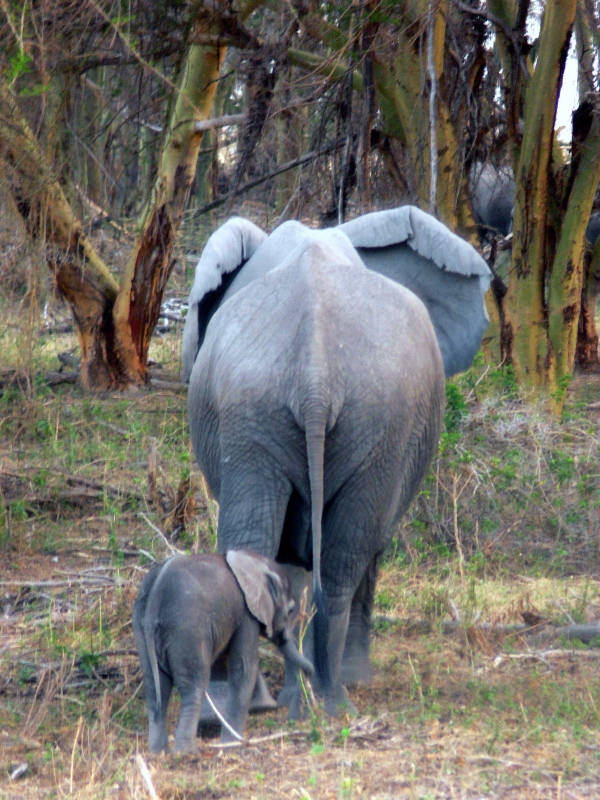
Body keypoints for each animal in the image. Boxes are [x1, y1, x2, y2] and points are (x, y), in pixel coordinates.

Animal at [132, 550, 313, 752]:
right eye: (290, 610)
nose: (309, 674)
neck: (253, 561)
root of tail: (155, 598)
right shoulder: (246, 613)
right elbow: (243, 668)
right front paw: (232, 744)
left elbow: (222, 664)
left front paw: (263, 707)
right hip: (187, 626)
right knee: (193, 685)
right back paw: (186, 752)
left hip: (141, 625)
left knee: (156, 687)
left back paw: (158, 752)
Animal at [181, 206, 491, 717]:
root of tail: (315, 372)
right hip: (312, 411)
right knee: (340, 555)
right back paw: (325, 699)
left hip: (319, 412)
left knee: (286, 549)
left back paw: (269, 705)